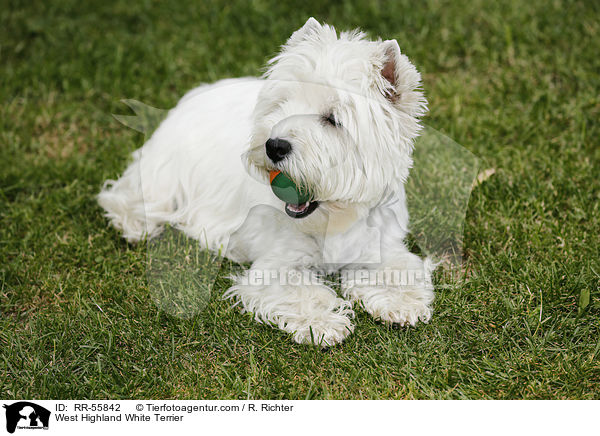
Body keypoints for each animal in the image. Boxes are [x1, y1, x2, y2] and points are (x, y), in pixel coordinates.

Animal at [99, 17, 436, 348]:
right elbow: (301, 291)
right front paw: (323, 324)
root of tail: (197, 92)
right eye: (282, 104)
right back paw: (134, 226)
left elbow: (396, 270)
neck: (335, 218)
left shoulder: (380, 244)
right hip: (164, 173)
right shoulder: (277, 263)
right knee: (130, 194)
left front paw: (402, 303)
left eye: (332, 119)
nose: (274, 146)